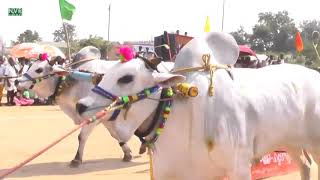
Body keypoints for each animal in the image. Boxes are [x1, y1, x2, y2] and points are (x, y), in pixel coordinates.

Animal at [77, 33, 318, 179]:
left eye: (126, 78)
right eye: (105, 75)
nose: (81, 105)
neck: (181, 114)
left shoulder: (238, 167)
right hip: (291, 142)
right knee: (305, 165)